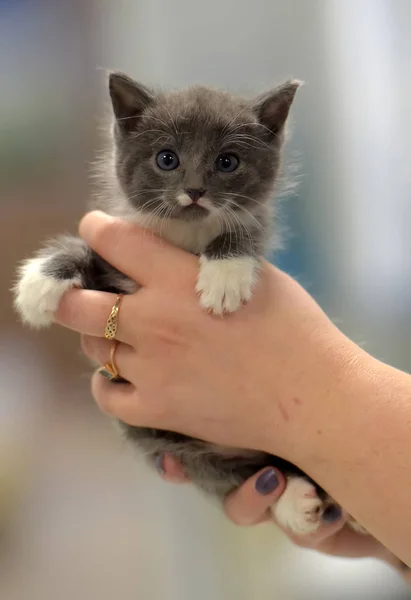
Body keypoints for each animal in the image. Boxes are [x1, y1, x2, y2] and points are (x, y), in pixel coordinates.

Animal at [14, 72, 358, 536]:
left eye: (228, 162)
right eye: (167, 158)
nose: (194, 190)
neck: (185, 237)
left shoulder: (254, 225)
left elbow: (244, 230)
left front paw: (225, 273)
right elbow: (82, 249)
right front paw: (39, 282)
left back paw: (301, 499)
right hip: (163, 442)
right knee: (227, 472)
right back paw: (291, 497)